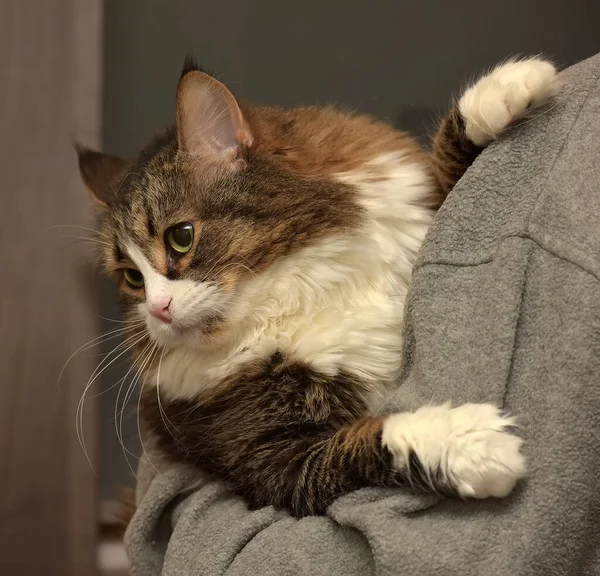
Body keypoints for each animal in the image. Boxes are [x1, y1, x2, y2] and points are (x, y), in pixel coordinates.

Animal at [77, 55, 556, 516]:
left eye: (181, 237)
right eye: (132, 278)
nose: (158, 309)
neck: (290, 294)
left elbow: (449, 175)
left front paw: (505, 90)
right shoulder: (275, 461)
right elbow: (369, 442)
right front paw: (469, 444)